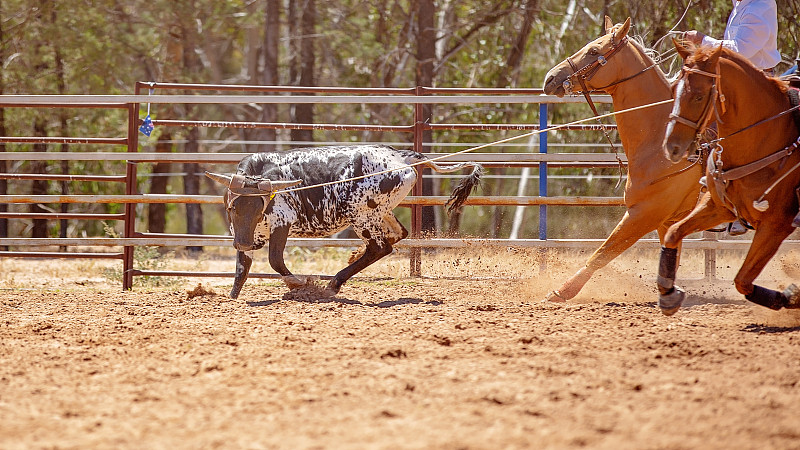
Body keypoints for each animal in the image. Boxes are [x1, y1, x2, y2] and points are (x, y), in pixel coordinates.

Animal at [540, 16, 704, 302]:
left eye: (594, 50)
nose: (550, 78)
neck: (660, 142)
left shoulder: (645, 213)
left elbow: (602, 254)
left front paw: (561, 292)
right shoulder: (667, 220)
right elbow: (669, 257)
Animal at [656, 40, 800, 314]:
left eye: (699, 95)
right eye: (673, 90)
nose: (671, 147)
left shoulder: (776, 224)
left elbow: (742, 280)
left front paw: (792, 295)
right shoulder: (719, 206)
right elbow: (673, 233)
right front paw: (668, 292)